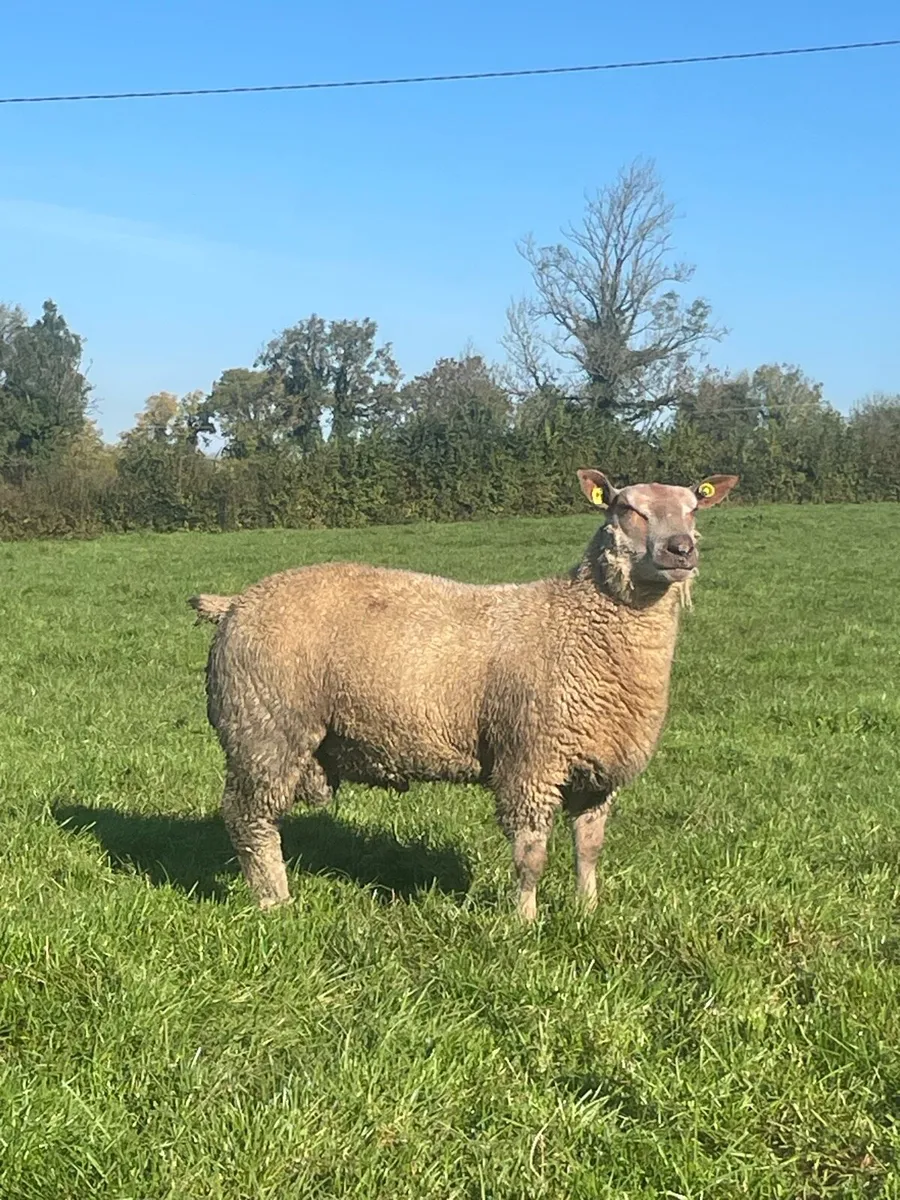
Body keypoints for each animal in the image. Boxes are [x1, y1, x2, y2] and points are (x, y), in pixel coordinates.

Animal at [190, 469, 738, 920]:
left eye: (694, 508)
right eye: (628, 509)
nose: (681, 550)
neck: (577, 621)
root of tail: (235, 602)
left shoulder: (595, 772)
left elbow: (589, 848)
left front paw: (588, 911)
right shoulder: (528, 761)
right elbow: (531, 855)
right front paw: (524, 922)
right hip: (264, 728)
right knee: (249, 820)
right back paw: (274, 902)